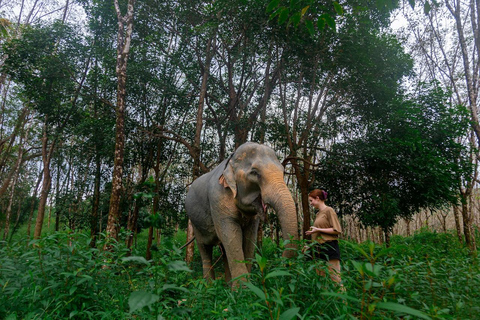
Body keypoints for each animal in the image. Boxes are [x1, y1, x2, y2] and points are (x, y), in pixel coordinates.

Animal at [186, 142, 298, 282]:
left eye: (283, 172)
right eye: (254, 173)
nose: (280, 264)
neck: (231, 160)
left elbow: (249, 238)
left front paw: (247, 285)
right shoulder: (217, 199)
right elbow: (231, 235)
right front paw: (243, 287)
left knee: (223, 250)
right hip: (195, 224)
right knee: (205, 249)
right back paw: (209, 285)